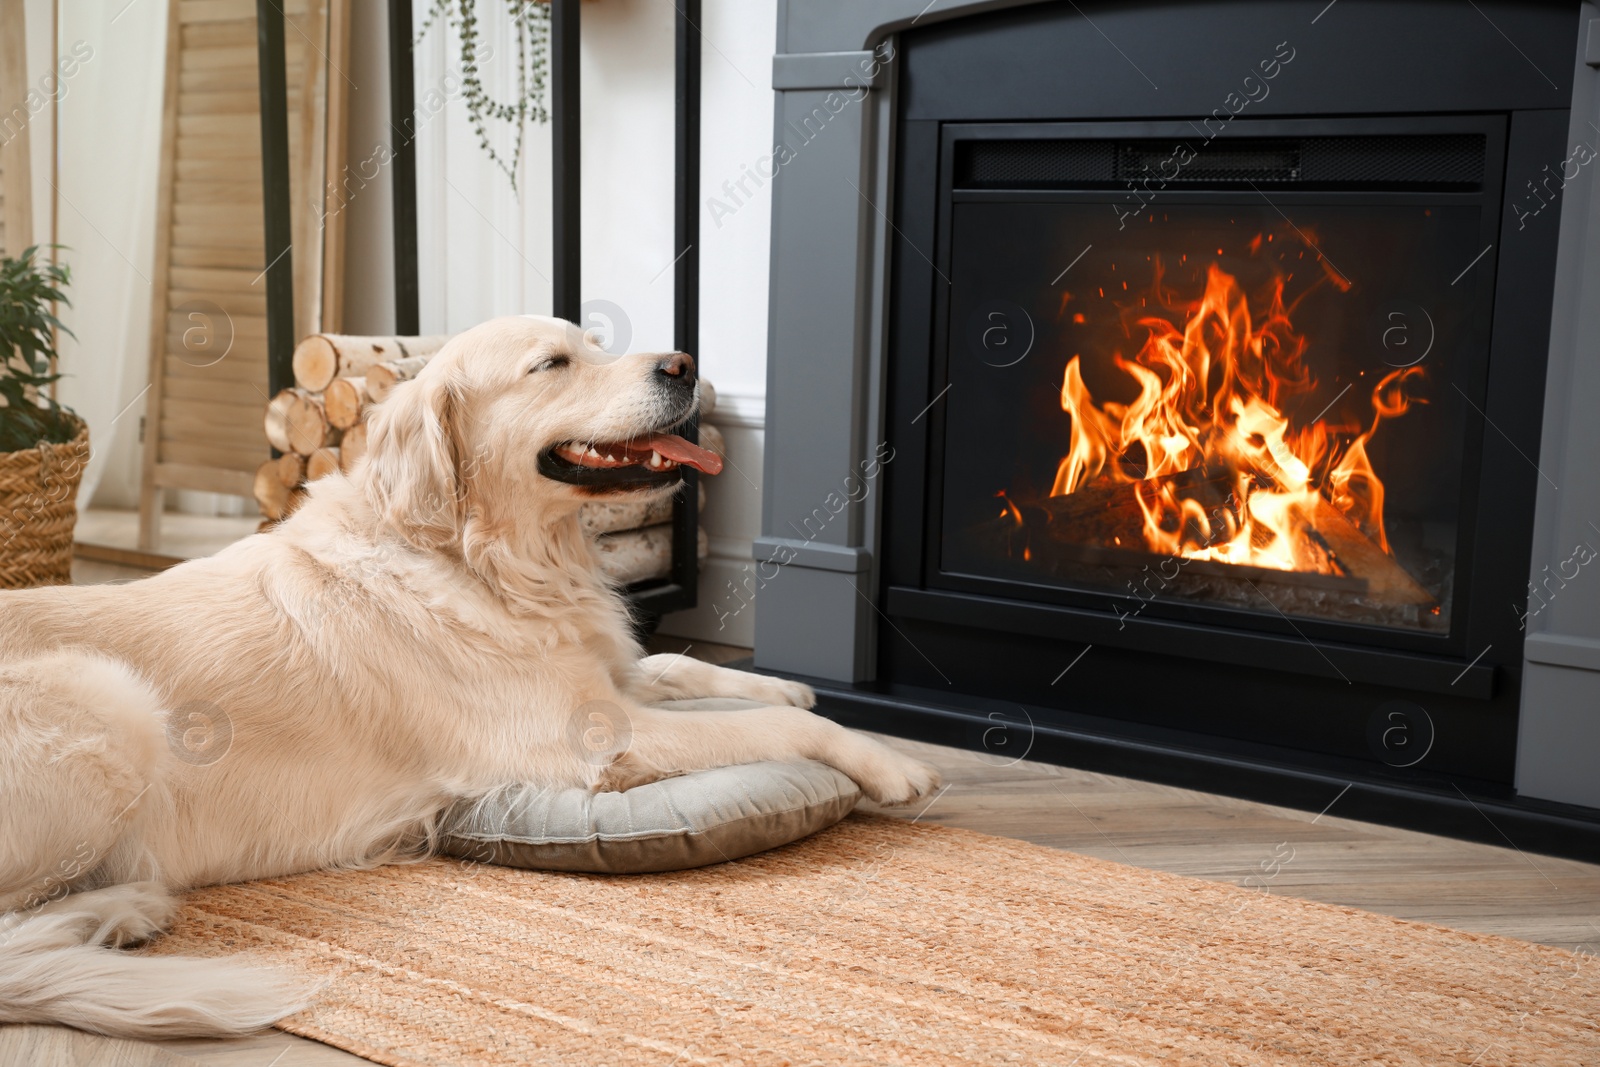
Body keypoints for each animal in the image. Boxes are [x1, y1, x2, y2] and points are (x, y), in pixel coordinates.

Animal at [0, 315, 934, 1036]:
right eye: (552, 364)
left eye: (595, 342)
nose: (684, 364)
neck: (490, 560)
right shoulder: (594, 740)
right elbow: (774, 728)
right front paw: (893, 762)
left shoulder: (606, 676)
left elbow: (681, 663)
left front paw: (793, 684)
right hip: (109, 705)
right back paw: (120, 910)